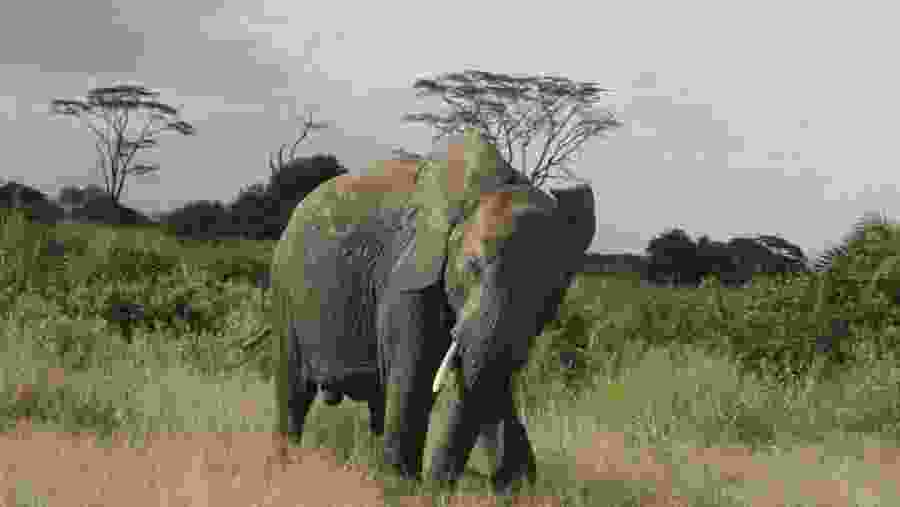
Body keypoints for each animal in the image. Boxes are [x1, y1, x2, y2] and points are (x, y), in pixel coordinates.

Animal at [270, 128, 596, 495]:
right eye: (472, 267)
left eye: (554, 288)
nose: (484, 481)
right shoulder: (408, 272)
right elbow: (416, 378)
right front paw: (401, 488)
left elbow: (488, 379)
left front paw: (517, 485)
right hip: (285, 288)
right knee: (293, 392)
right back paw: (283, 470)